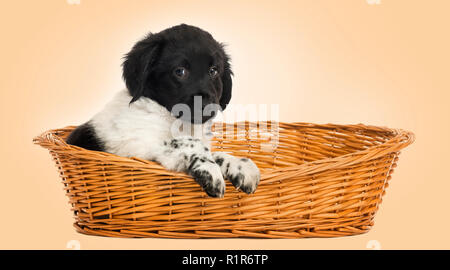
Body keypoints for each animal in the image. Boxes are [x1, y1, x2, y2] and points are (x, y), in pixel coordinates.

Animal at [65, 24, 258, 198]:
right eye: (180, 71)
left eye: (213, 71)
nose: (208, 105)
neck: (175, 121)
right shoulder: (136, 147)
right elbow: (190, 143)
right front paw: (211, 170)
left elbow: (215, 153)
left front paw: (241, 165)